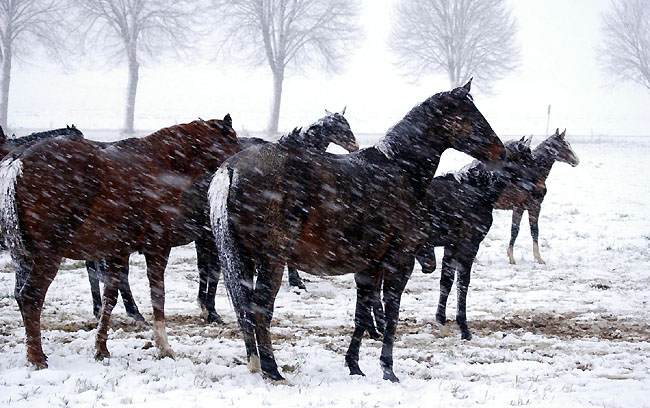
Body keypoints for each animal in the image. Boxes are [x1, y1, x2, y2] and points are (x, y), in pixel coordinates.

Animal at [0, 114, 239, 366]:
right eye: (233, 139)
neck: (162, 162)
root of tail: (17, 159)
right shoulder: (158, 247)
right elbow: (158, 296)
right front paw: (163, 347)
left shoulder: (117, 252)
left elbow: (110, 298)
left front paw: (101, 348)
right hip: (49, 255)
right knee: (31, 296)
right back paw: (36, 356)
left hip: (23, 256)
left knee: (21, 295)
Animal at [85, 110, 360, 324]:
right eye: (341, 126)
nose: (355, 147)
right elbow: (214, 273)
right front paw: (211, 310)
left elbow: (208, 271)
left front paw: (206, 305)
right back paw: (129, 312)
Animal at [210, 80, 504, 382]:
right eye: (471, 116)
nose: (500, 152)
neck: (399, 169)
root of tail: (231, 168)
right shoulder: (400, 262)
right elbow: (392, 313)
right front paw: (388, 369)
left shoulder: (369, 266)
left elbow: (362, 314)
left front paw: (354, 365)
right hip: (271, 261)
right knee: (260, 309)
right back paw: (272, 368)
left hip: (246, 258)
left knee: (245, 308)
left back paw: (256, 361)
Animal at [412, 137, 536, 342]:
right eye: (527, 158)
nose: (538, 188)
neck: (476, 191)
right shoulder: (468, 247)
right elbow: (463, 284)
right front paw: (464, 329)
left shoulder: (451, 247)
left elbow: (446, 282)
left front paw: (441, 322)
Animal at [494, 129, 580, 266]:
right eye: (565, 145)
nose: (577, 161)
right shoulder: (530, 207)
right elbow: (526, 231)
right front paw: (535, 258)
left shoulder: (522, 208)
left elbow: (524, 231)